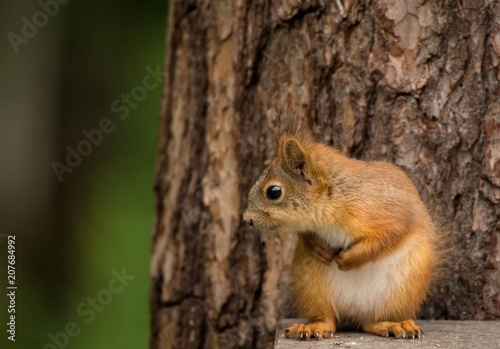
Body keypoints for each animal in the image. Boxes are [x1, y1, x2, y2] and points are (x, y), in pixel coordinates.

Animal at [244, 111, 436, 338]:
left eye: (274, 192)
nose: (247, 219)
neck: (335, 199)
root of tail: (354, 311)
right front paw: (314, 243)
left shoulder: (388, 212)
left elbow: (390, 235)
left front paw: (348, 259)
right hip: (311, 284)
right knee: (328, 320)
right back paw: (313, 326)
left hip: (403, 290)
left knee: (373, 321)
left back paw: (393, 324)